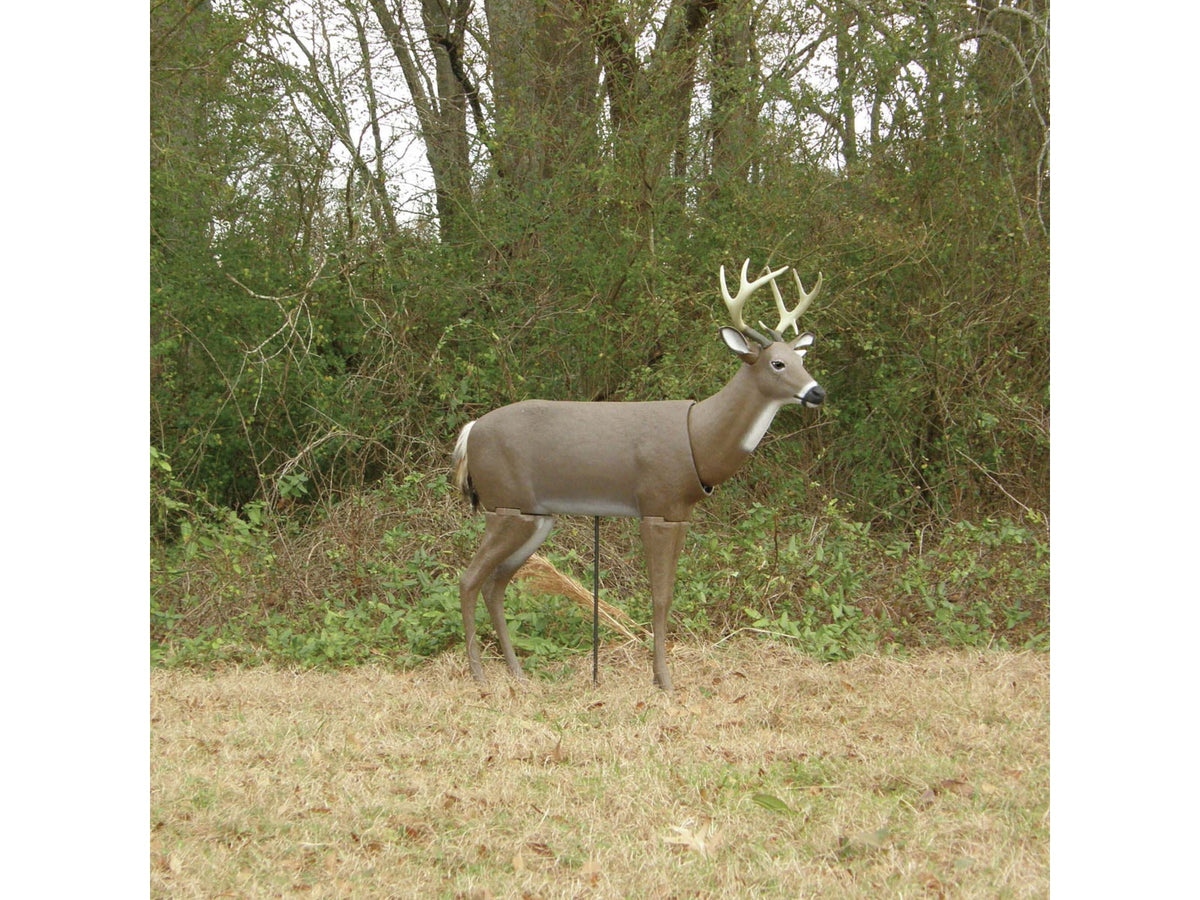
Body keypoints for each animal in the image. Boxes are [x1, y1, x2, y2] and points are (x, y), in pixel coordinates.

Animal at [451, 259, 827, 690]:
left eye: (802, 361)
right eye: (777, 363)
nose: (817, 393)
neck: (699, 438)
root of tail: (470, 431)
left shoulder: (680, 513)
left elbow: (669, 593)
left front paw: (661, 675)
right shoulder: (655, 505)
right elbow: (659, 596)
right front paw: (664, 681)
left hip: (535, 516)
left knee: (496, 583)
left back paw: (517, 673)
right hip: (506, 505)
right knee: (469, 579)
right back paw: (480, 675)